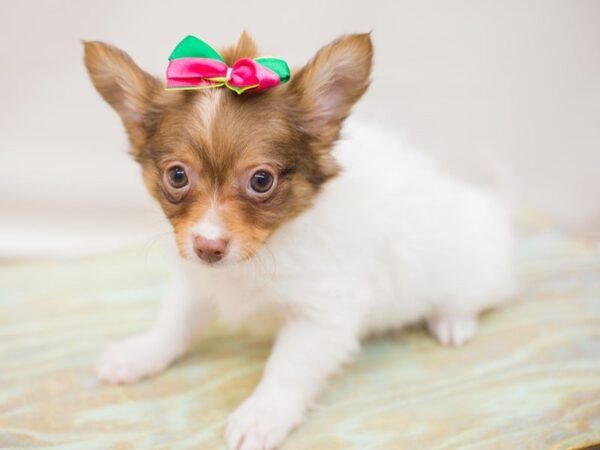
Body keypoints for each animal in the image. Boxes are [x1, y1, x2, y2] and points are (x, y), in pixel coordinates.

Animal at [84, 31, 516, 450]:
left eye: (261, 180)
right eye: (177, 176)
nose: (208, 247)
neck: (263, 252)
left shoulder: (321, 315)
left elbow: (287, 369)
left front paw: (262, 415)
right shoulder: (198, 282)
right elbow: (175, 323)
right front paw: (140, 353)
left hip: (471, 269)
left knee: (472, 297)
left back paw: (453, 321)